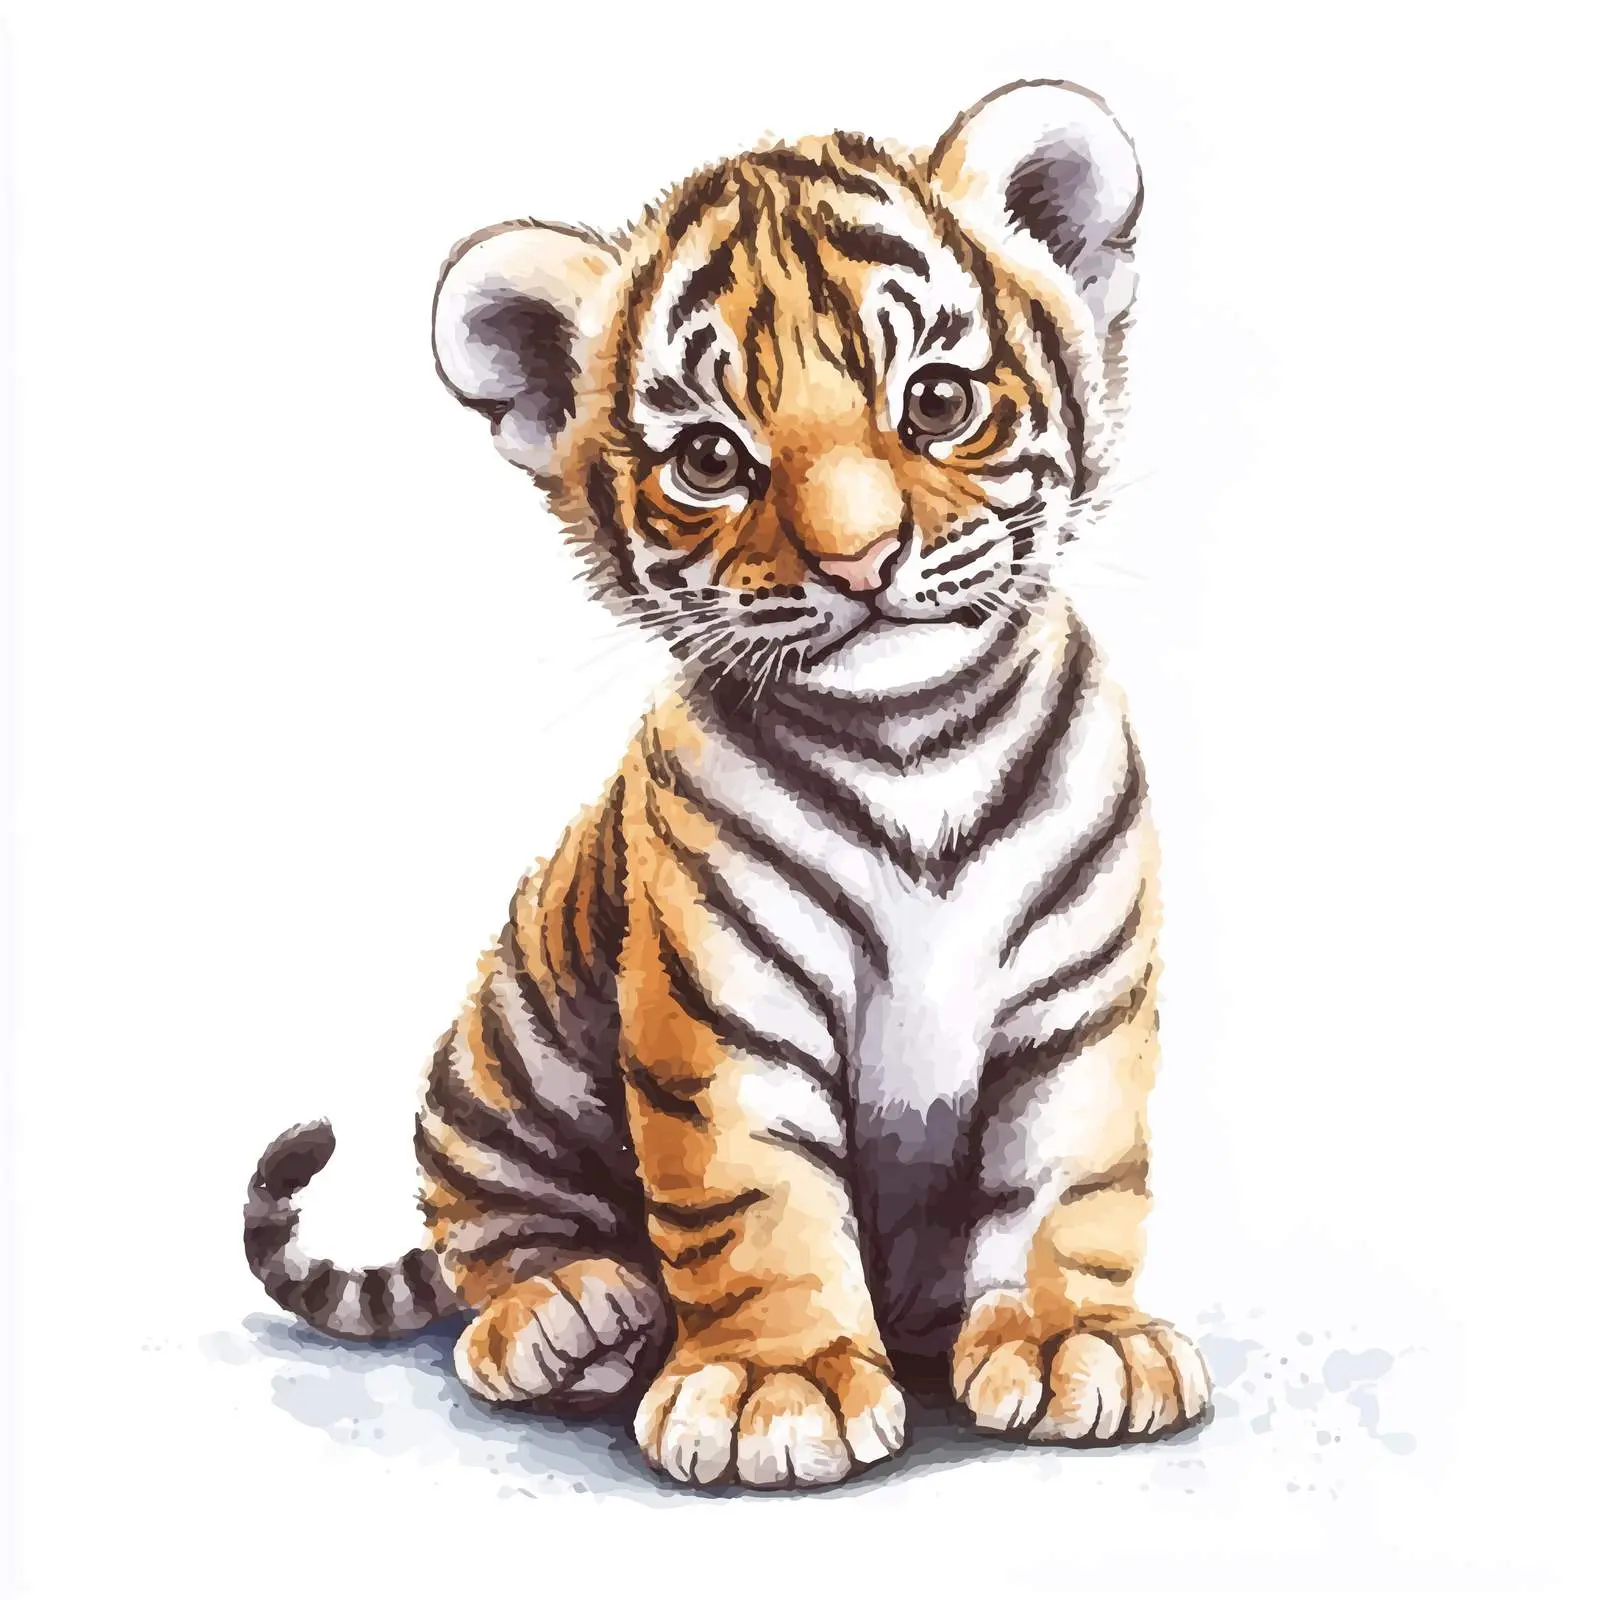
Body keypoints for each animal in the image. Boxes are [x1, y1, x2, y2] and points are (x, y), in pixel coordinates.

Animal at [243, 79, 1213, 1490]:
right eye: (708, 458)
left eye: (935, 401)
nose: (860, 560)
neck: (912, 738)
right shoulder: (720, 997)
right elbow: (752, 1194)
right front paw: (777, 1385)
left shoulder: (1076, 992)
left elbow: (1065, 1174)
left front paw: (1074, 1341)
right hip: (495, 1060)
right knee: (491, 1237)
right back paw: (568, 1320)